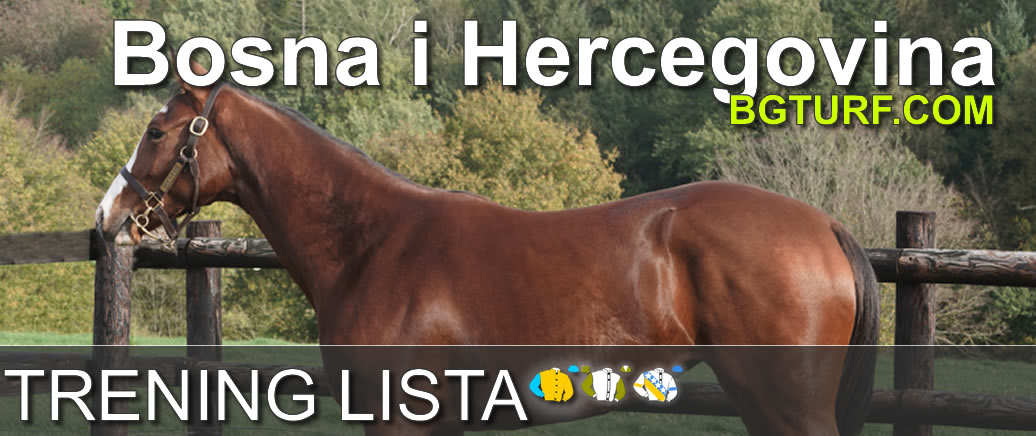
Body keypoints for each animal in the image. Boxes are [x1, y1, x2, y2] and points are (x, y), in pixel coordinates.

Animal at [96, 56, 878, 435]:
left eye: (158, 131)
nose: (108, 215)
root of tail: (824, 227)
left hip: (786, 405)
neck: (370, 245)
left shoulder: (397, 420)